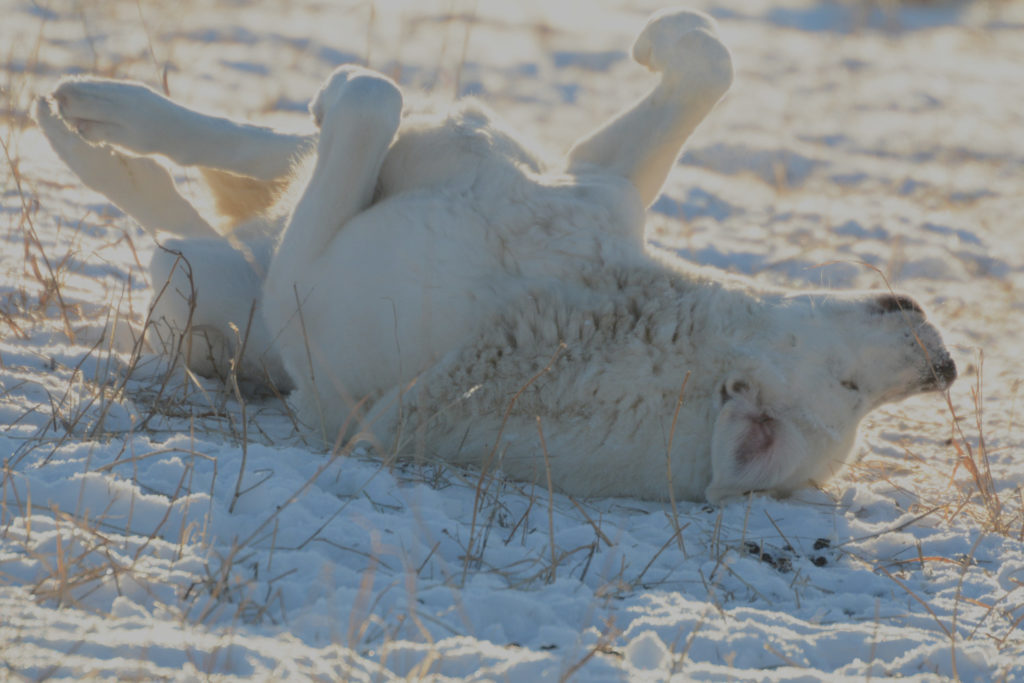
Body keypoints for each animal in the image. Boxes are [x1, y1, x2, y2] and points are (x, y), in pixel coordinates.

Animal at [34, 7, 958, 505]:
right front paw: (663, 36)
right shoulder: (564, 170)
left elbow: (368, 99)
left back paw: (92, 155)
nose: (944, 366)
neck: (587, 293)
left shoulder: (312, 299)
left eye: (851, 396)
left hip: (209, 296)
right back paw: (96, 122)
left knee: (182, 238)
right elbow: (707, 61)